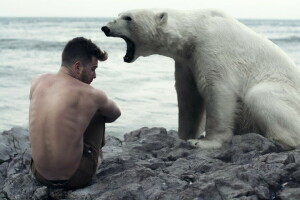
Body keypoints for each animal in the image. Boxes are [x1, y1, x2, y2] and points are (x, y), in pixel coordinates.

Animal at [102, 9, 300, 150]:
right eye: (119, 14)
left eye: (128, 18)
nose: (105, 28)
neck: (194, 30)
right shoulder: (186, 61)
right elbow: (189, 97)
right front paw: (183, 137)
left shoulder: (212, 47)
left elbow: (218, 89)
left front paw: (203, 143)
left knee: (260, 96)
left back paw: (278, 141)